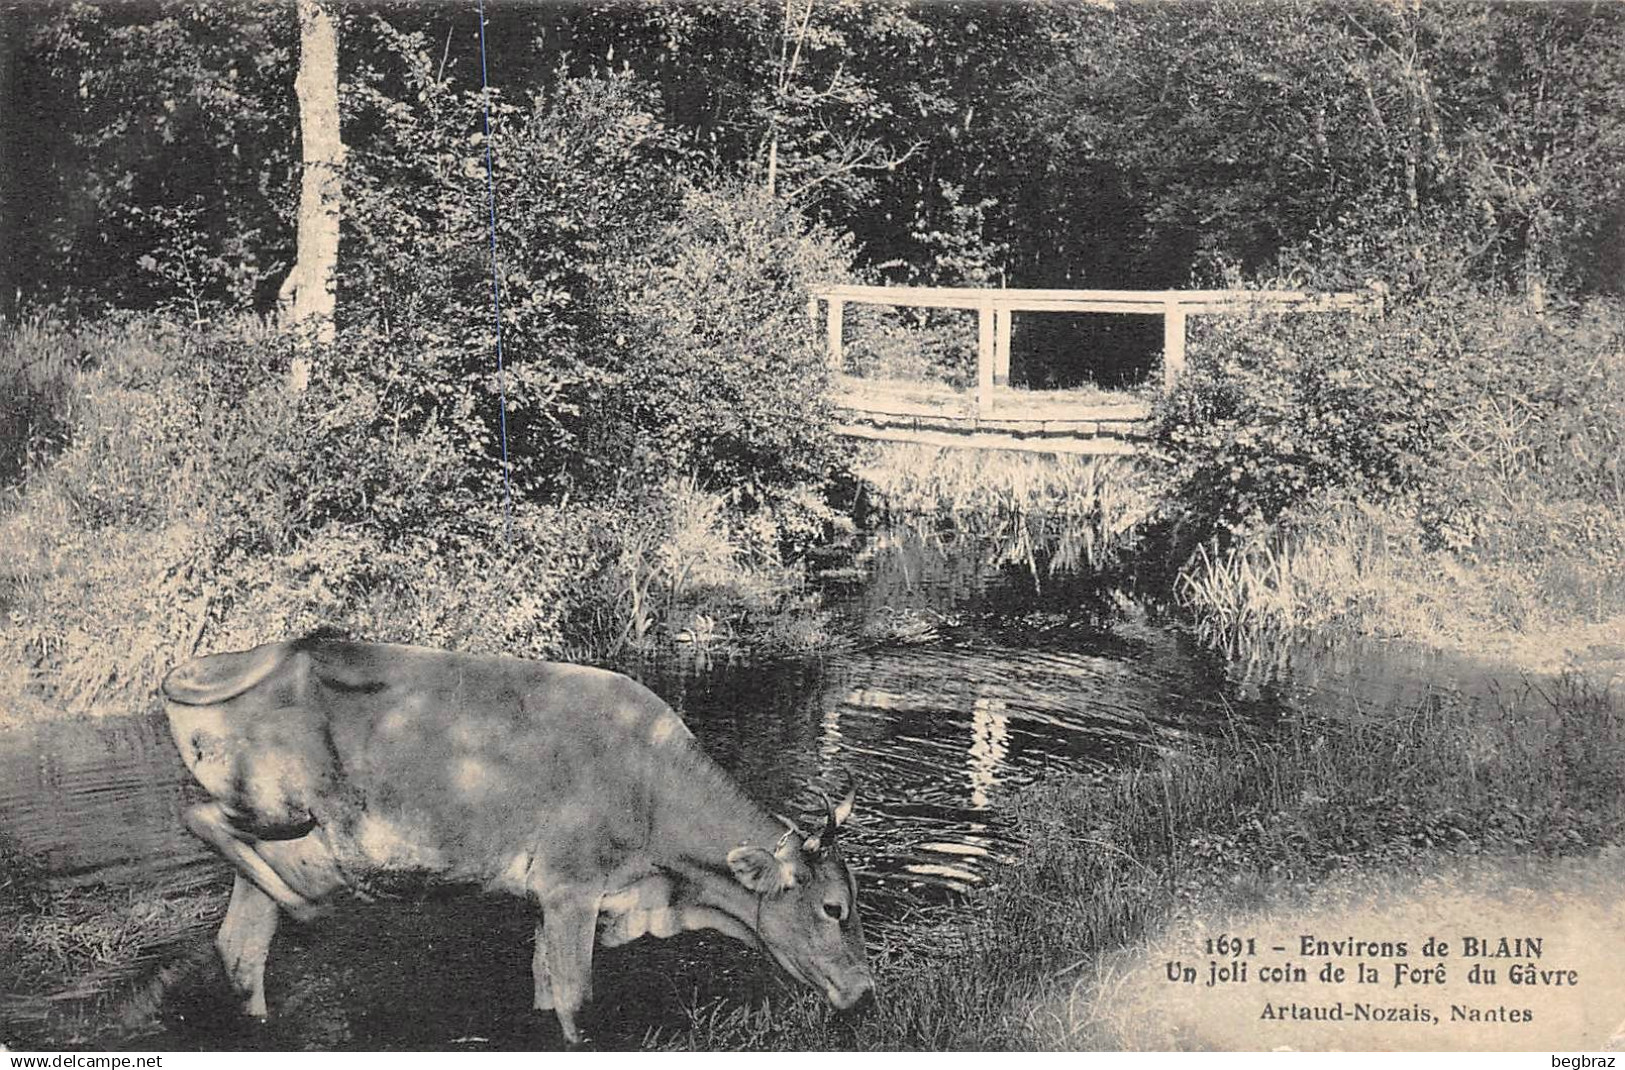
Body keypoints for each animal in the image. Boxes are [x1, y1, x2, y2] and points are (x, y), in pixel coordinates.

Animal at [161, 636, 874, 1044]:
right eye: (833, 908)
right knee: (200, 816)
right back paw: (309, 909)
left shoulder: (548, 900)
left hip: (285, 845)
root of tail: (273, 651)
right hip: (279, 807)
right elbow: (578, 1003)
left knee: (241, 949)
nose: (866, 995)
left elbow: (543, 988)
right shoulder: (571, 889)